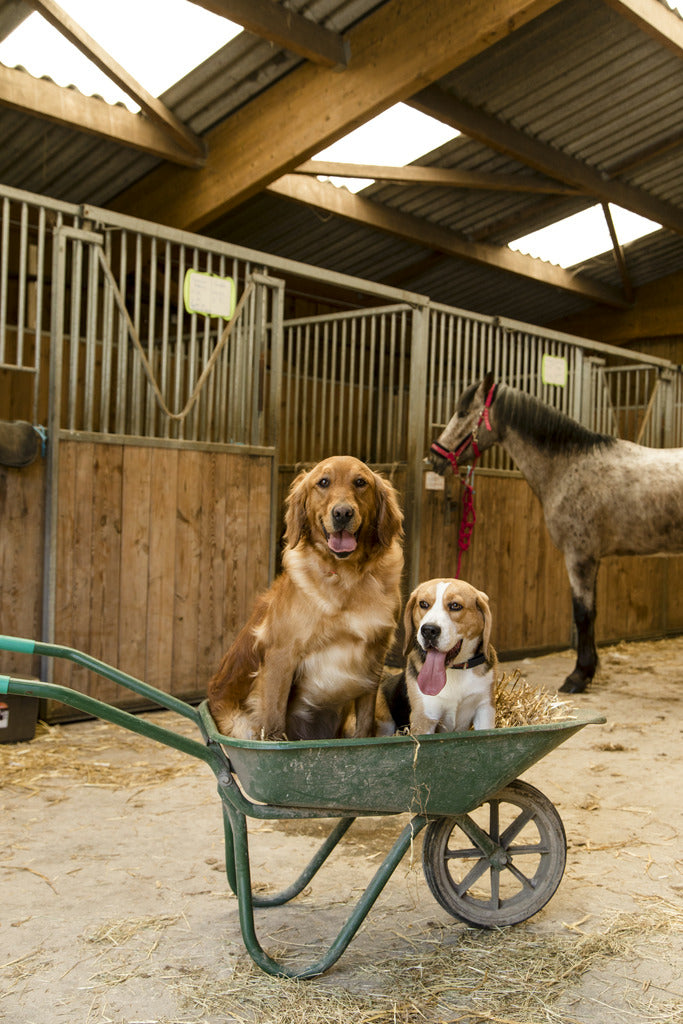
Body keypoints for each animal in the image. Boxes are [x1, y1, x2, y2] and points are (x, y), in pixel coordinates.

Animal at [206, 456, 401, 737]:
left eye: (360, 482)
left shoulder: (374, 657)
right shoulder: (280, 656)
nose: (342, 513)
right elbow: (274, 725)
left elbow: (364, 724)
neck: (346, 579)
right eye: (323, 482)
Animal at [430, 372, 683, 692]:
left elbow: (584, 615)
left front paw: (578, 676)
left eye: (463, 412)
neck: (571, 466)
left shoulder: (579, 556)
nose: (433, 457)